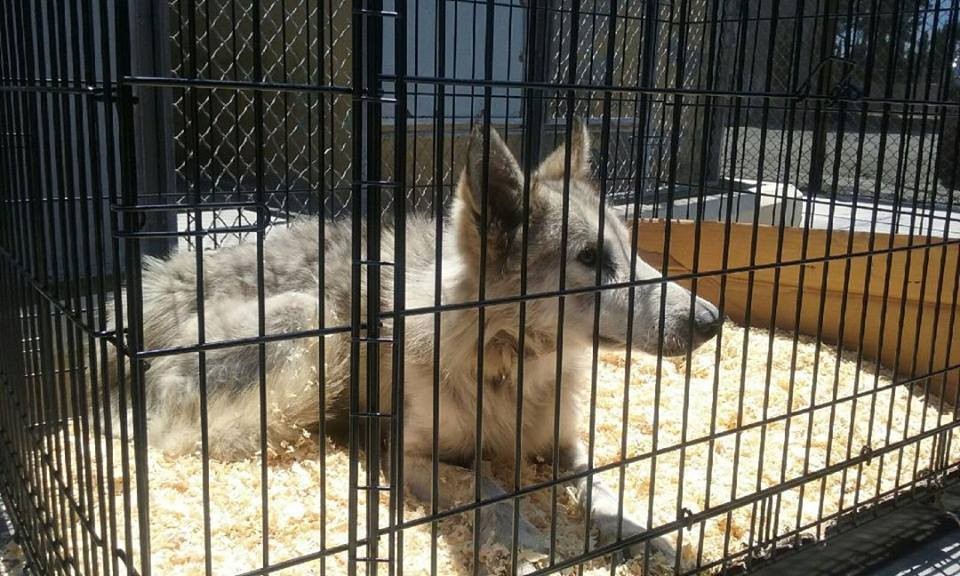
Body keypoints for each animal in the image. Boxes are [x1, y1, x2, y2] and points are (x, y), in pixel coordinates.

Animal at [101, 120, 721, 572]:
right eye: (591, 258)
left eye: (630, 249)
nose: (712, 320)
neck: (505, 362)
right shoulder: (409, 457)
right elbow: (486, 484)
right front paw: (522, 542)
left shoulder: (566, 451)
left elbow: (607, 491)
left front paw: (651, 534)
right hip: (314, 321)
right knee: (185, 437)